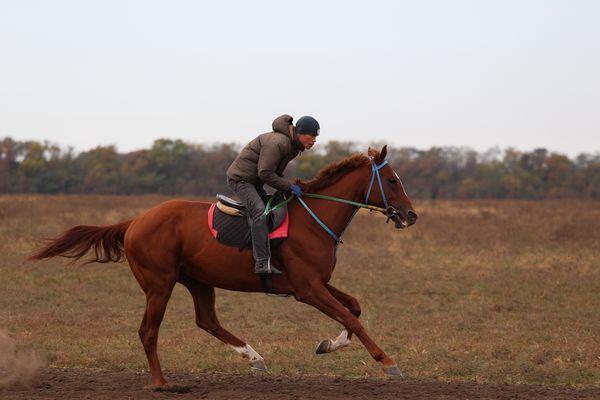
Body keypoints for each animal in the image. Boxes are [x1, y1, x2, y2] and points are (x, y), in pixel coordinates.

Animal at [28, 146, 418, 388]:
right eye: (393, 180)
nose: (411, 215)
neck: (313, 220)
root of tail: (135, 221)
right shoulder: (307, 289)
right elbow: (351, 316)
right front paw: (388, 362)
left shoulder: (315, 283)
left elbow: (353, 308)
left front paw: (328, 345)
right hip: (159, 283)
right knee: (148, 331)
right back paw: (161, 383)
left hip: (198, 280)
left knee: (207, 321)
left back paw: (254, 357)